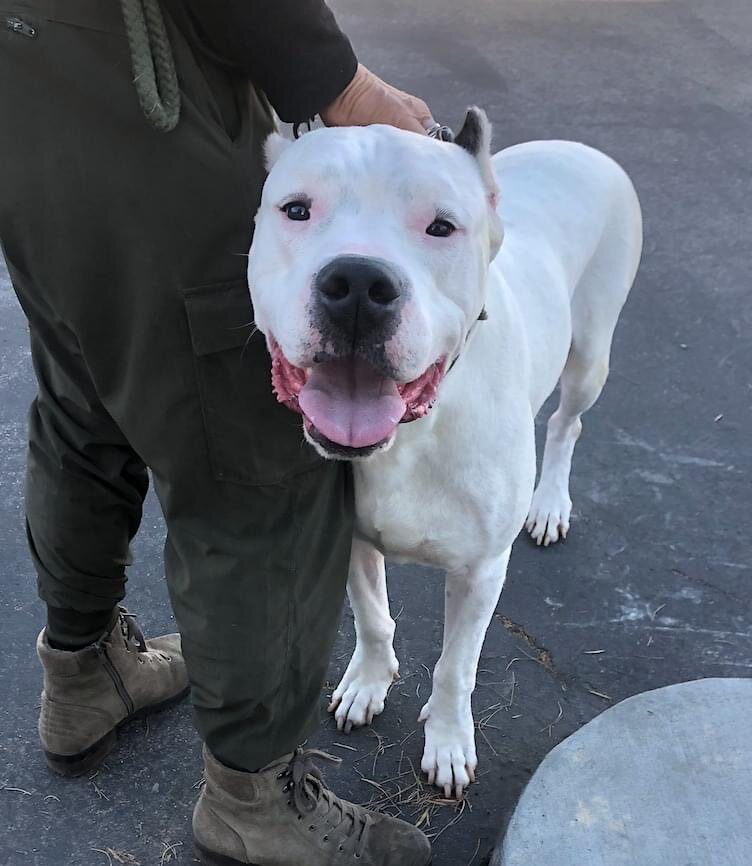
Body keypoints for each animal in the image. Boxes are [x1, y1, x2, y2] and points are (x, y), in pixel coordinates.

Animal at [248, 108, 640, 796]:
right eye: (296, 209)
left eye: (441, 226)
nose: (358, 282)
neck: (411, 435)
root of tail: (579, 147)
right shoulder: (349, 535)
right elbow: (372, 617)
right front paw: (367, 683)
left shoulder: (481, 571)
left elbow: (457, 666)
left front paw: (450, 739)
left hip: (592, 352)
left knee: (568, 423)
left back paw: (549, 504)